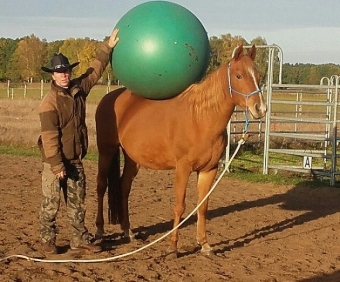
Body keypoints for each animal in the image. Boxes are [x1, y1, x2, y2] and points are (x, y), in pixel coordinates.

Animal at [94, 44, 266, 258]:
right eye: (238, 75)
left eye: (258, 75)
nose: (260, 108)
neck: (201, 119)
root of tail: (109, 98)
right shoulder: (182, 168)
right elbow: (179, 206)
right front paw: (173, 247)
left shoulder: (209, 170)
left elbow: (203, 207)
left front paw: (205, 245)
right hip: (106, 151)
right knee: (101, 186)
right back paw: (99, 231)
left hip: (133, 159)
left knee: (124, 187)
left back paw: (128, 232)